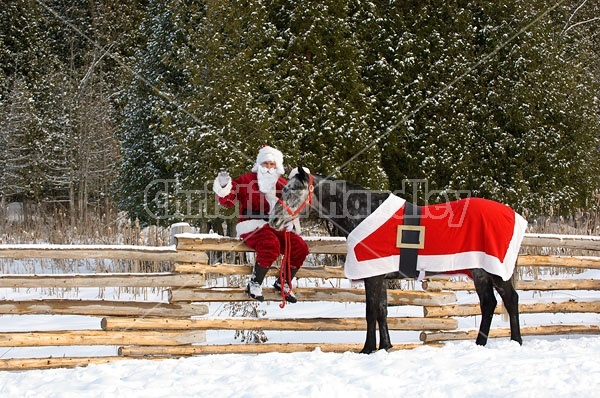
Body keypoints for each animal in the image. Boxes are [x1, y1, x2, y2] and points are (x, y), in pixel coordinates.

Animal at [270, 166, 528, 352]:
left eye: (293, 190)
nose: (274, 220)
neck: (364, 213)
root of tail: (511, 214)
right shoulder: (381, 277)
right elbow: (382, 312)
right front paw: (386, 346)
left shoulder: (373, 276)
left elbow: (370, 312)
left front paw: (367, 349)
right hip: (479, 271)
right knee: (488, 304)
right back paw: (479, 344)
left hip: (495, 271)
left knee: (511, 300)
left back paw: (516, 341)